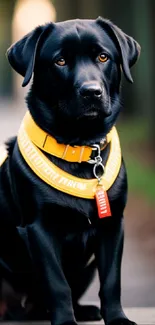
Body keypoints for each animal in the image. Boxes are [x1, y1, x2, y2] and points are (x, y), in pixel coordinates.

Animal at [0, 17, 140, 324]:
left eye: (103, 57)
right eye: (60, 61)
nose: (91, 91)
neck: (79, 148)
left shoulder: (113, 225)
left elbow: (111, 281)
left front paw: (118, 318)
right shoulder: (39, 228)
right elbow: (57, 283)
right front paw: (65, 321)